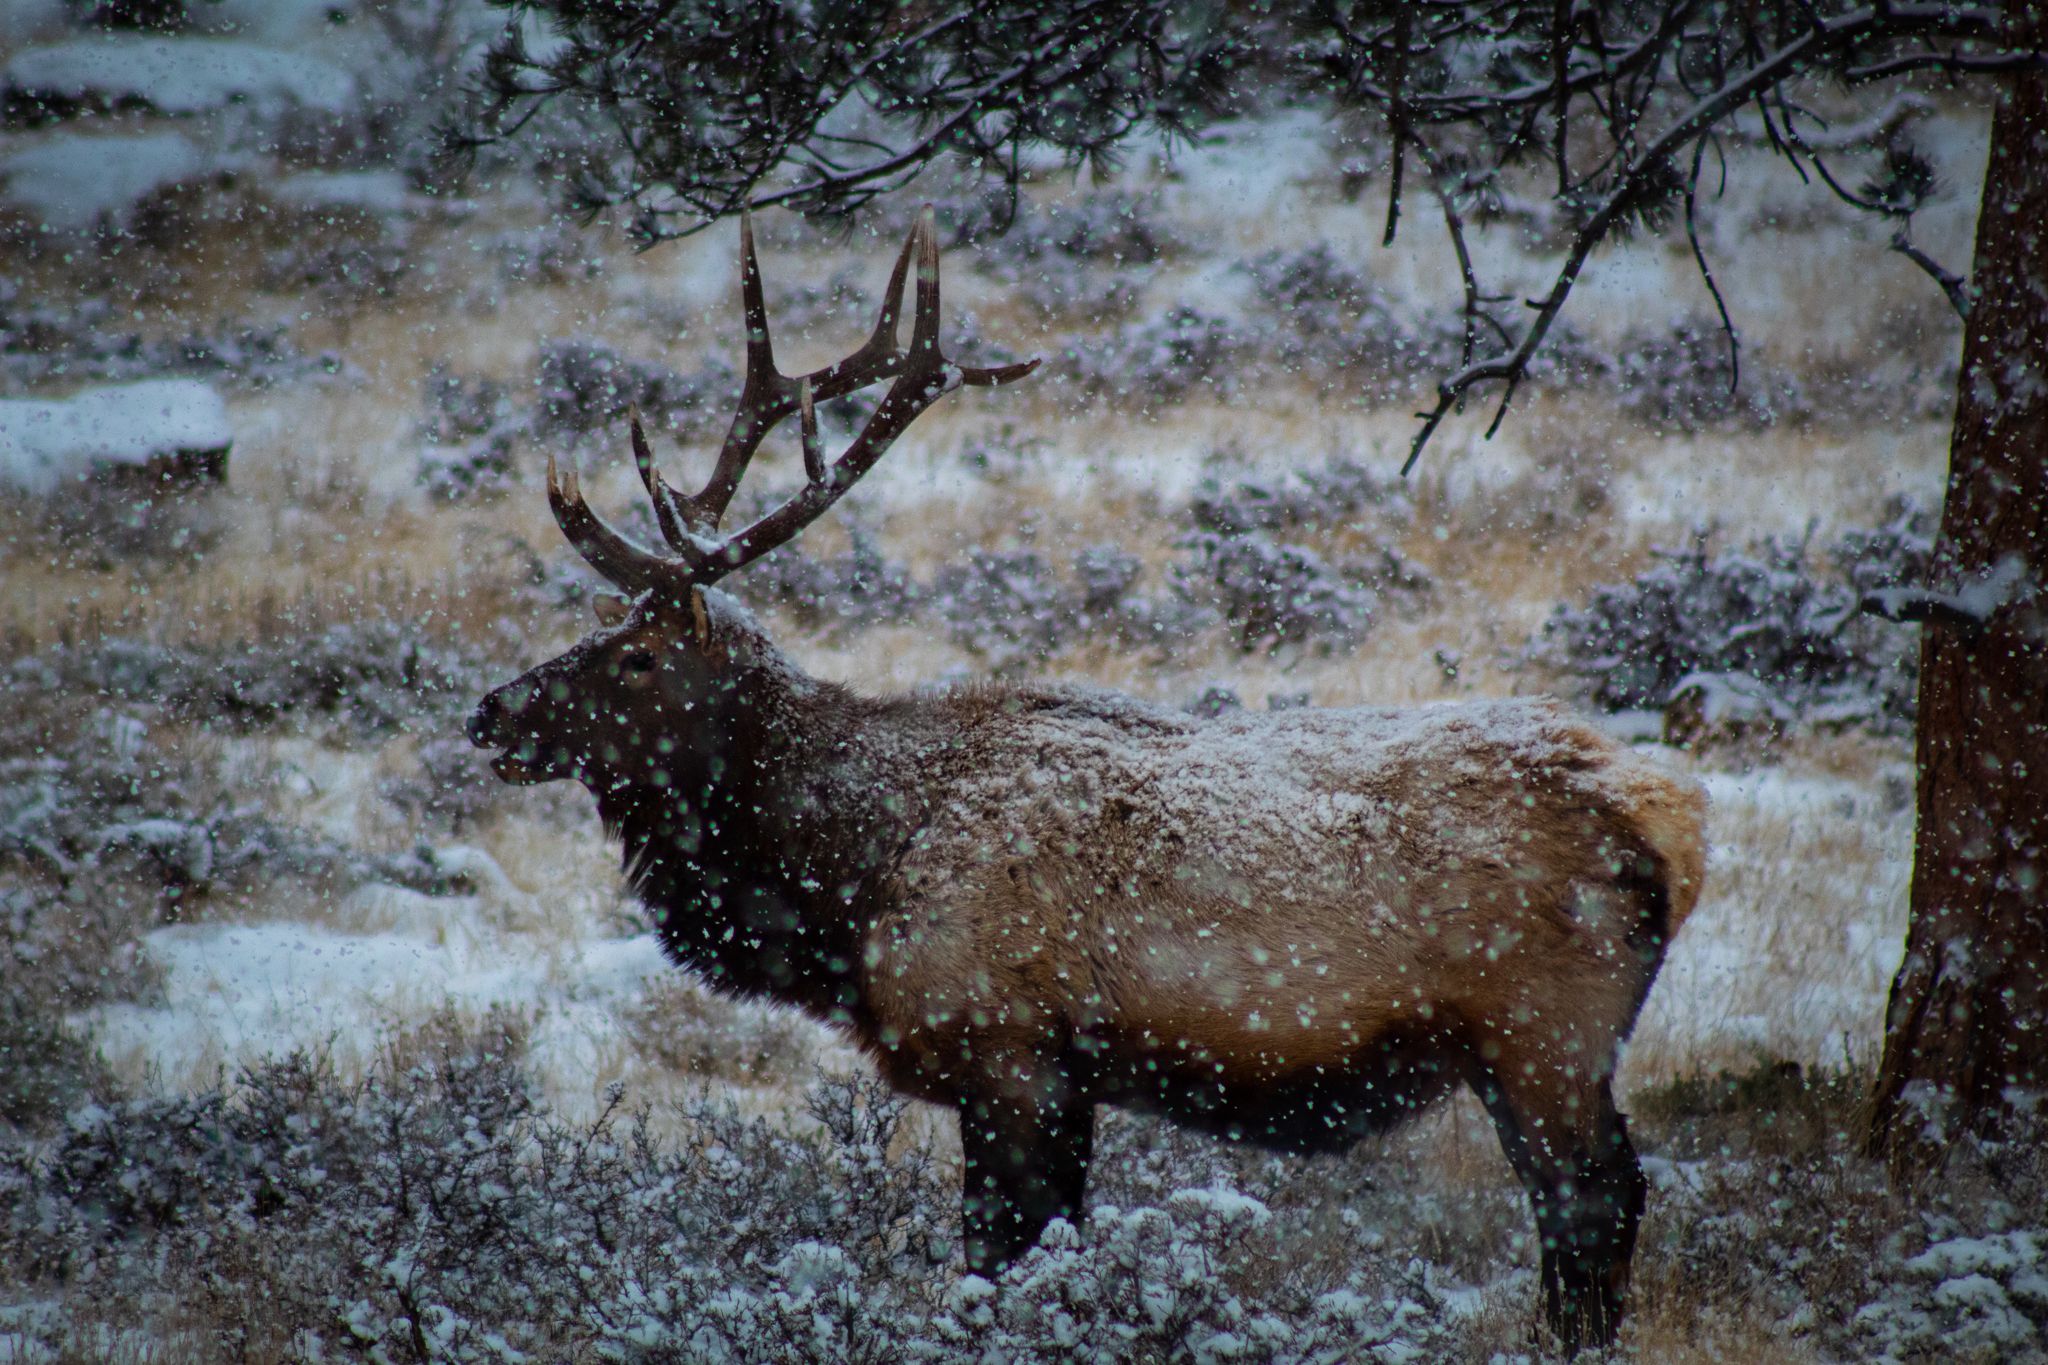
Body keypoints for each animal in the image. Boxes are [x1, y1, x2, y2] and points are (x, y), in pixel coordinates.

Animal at [466, 208, 1708, 1353]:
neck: (848, 884)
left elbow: (997, 1259)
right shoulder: (1055, 1075)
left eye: (635, 657)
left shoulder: (1008, 1048)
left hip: (1544, 1028)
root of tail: (1671, 824)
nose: (490, 713)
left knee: (1593, 1202)